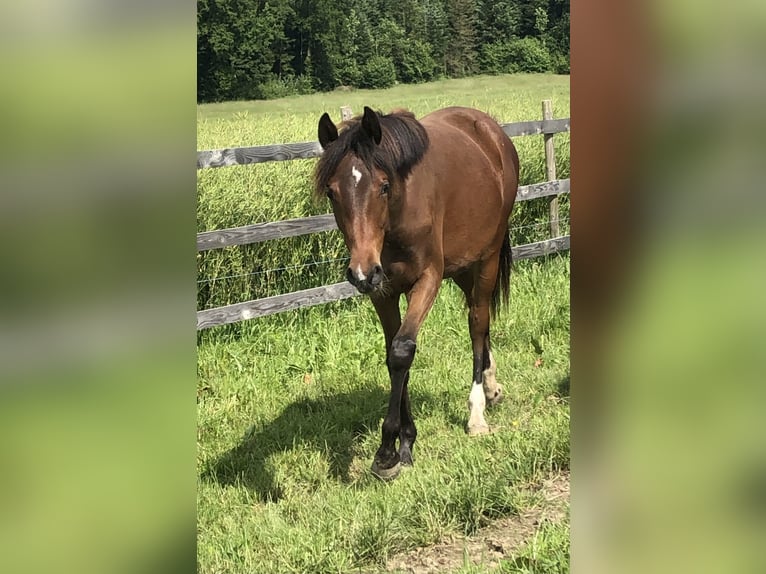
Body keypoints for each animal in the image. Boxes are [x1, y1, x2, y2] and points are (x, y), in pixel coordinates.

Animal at [316, 104, 520, 482]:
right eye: (332, 192)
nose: (361, 272)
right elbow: (394, 354)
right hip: (463, 267)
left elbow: (402, 352)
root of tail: (490, 130)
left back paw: (477, 413)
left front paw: (386, 453)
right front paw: (405, 445)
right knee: (480, 319)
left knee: (477, 323)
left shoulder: (427, 280)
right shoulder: (382, 292)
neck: (398, 216)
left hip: (487, 258)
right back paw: (492, 385)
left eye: (383, 186)